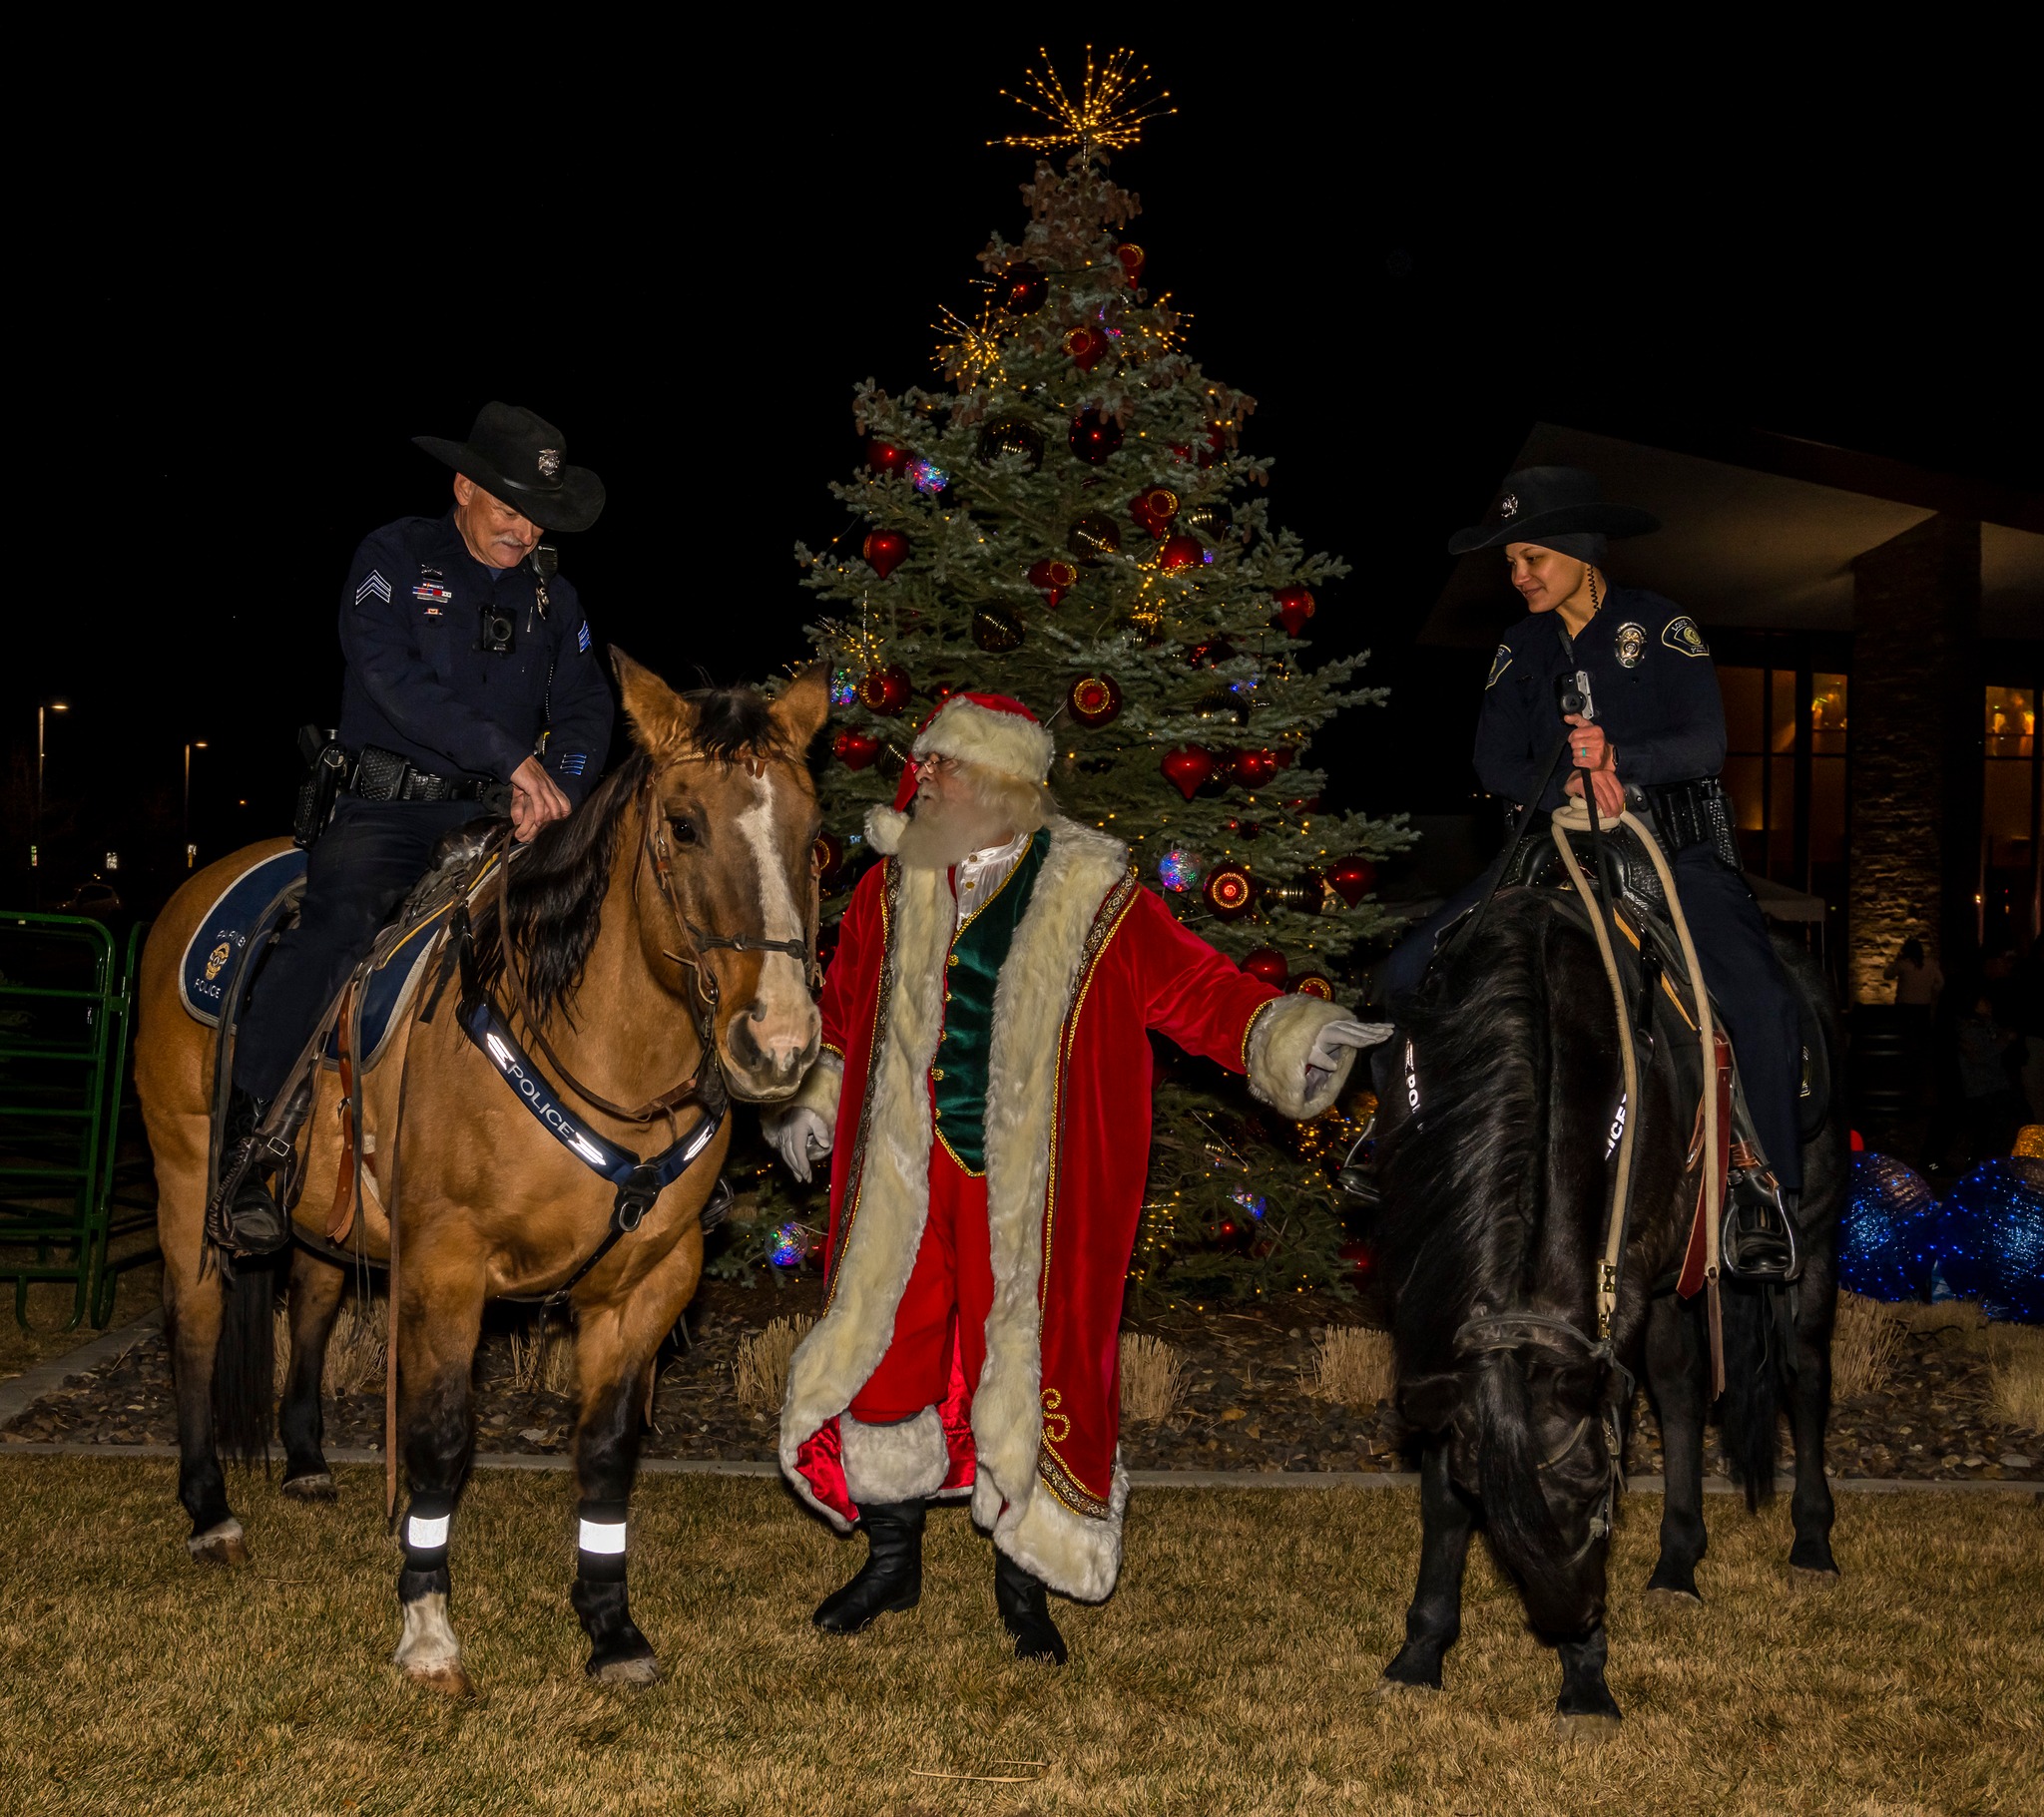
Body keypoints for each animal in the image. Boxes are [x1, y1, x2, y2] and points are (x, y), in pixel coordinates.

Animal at [136, 654, 825, 1683]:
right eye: (684, 824)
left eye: (815, 836)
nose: (778, 1041)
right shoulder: (446, 1268)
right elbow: (439, 1439)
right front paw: (426, 1622)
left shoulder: (651, 1281)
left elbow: (607, 1450)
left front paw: (610, 1625)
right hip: (187, 1174)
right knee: (196, 1318)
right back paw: (210, 1508)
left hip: (328, 1217)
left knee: (313, 1302)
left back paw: (305, 1462)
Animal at [1381, 891, 1847, 1733]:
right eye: (1489, 1502)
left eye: (1597, 1492)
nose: (1575, 1617)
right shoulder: (1436, 1307)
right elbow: (1438, 1495)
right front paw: (1421, 1650)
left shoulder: (1620, 1285)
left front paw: (1587, 1681)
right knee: (1682, 1388)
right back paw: (1677, 1561)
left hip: (1814, 1237)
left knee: (1803, 1374)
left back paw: (1812, 1544)